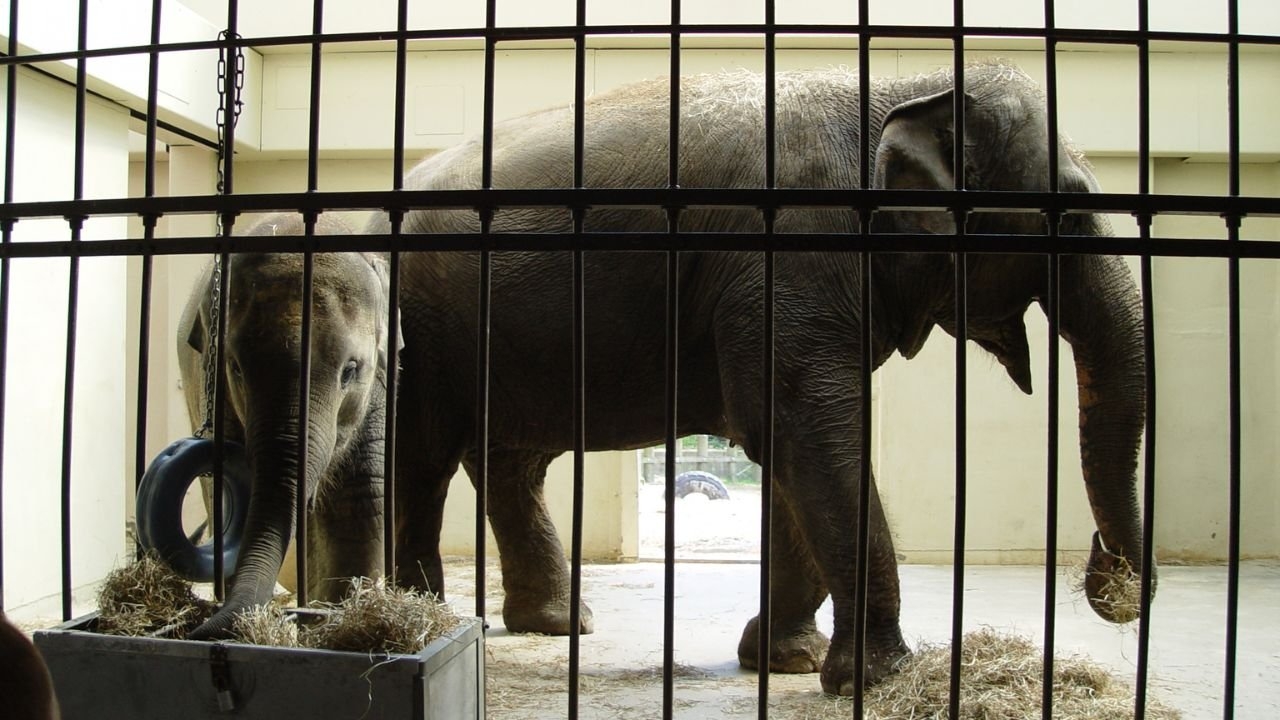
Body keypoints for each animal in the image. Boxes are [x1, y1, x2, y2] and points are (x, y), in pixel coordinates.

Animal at [177, 213, 397, 638]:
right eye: (236, 368)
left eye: (350, 371)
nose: (198, 630)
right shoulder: (215, 387)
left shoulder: (378, 390)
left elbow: (360, 494)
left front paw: (338, 623)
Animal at [356, 60, 1152, 696]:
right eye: (1071, 213)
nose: (1109, 583)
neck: (905, 84)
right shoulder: (791, 258)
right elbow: (809, 436)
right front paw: (880, 681)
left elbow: (789, 451)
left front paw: (787, 662)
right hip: (421, 326)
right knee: (423, 458)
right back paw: (423, 620)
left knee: (508, 463)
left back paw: (553, 625)